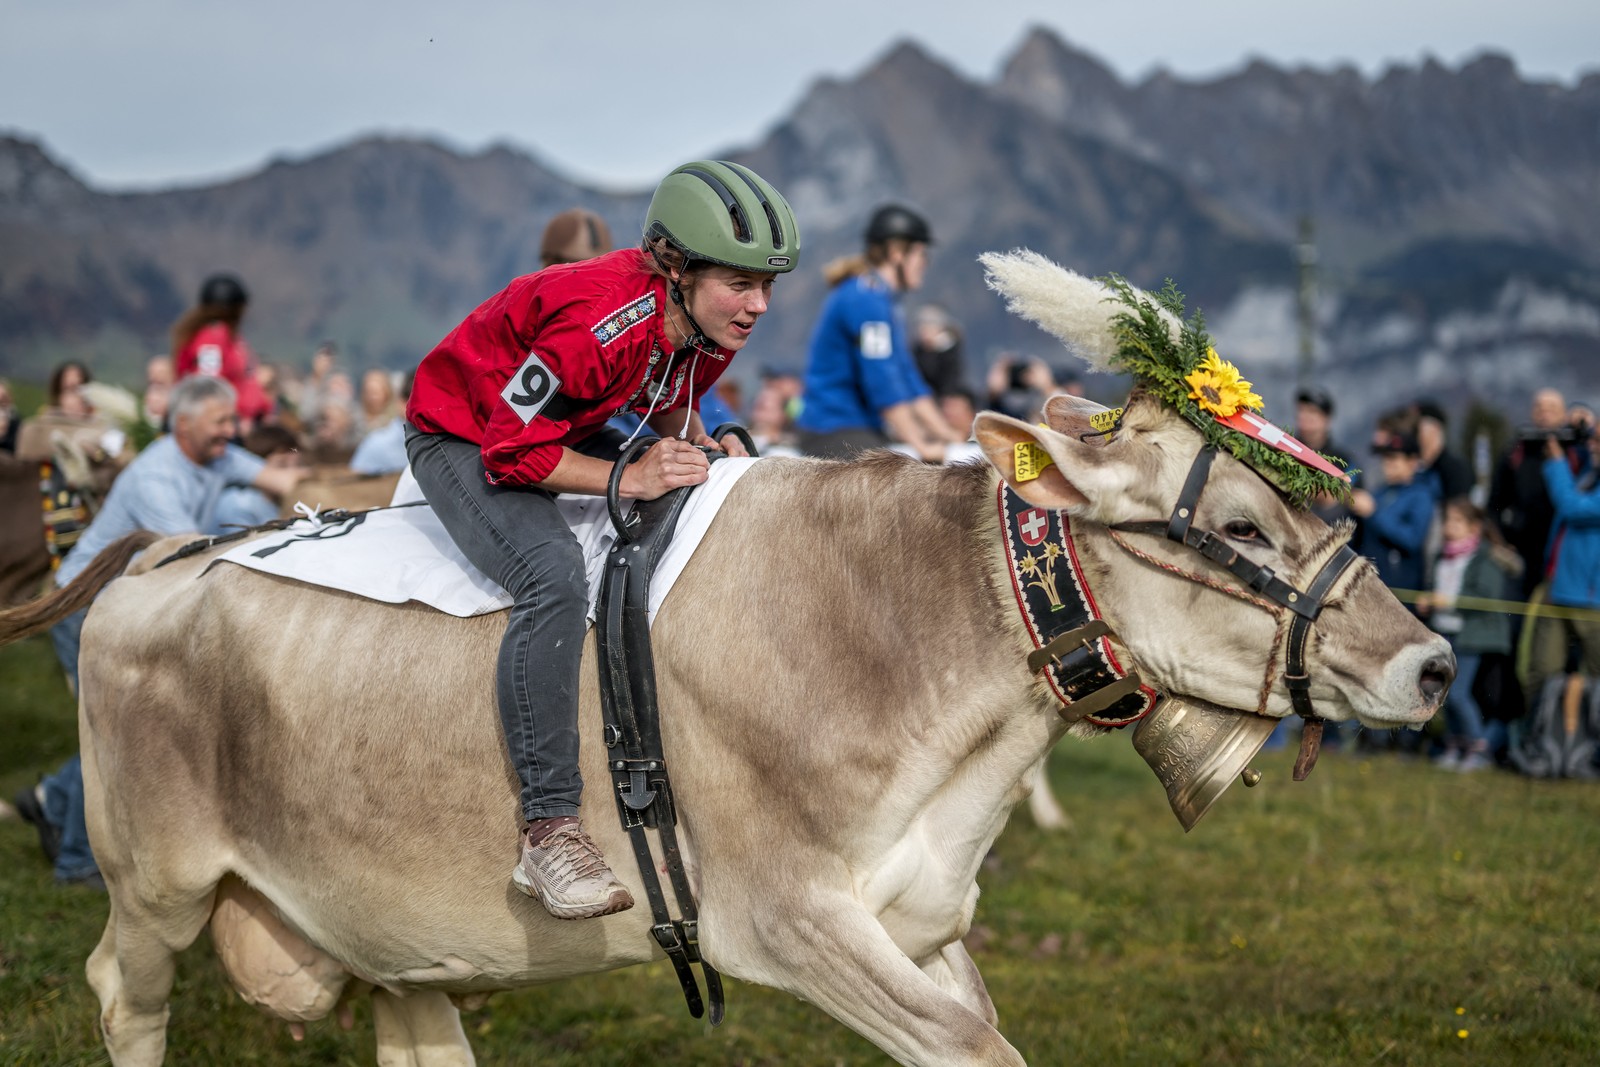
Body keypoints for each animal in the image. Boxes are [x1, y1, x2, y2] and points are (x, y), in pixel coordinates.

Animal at [0, 265, 1453, 1067]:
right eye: (1245, 527)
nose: (1435, 662)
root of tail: (166, 545)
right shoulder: (793, 913)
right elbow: (976, 1046)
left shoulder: (922, 915)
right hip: (158, 879)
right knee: (121, 990)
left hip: (389, 917)